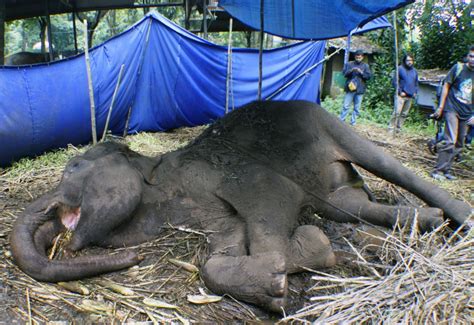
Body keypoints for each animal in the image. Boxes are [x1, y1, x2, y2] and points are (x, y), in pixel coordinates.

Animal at [10, 99, 470, 312]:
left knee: (386, 166)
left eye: (71, 167)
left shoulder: (228, 175)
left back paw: (460, 218)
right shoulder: (206, 214)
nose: (135, 259)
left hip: (325, 121)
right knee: (346, 206)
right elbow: (218, 257)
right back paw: (427, 222)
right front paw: (277, 280)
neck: (156, 173)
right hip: (339, 193)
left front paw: (301, 259)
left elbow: (273, 197)